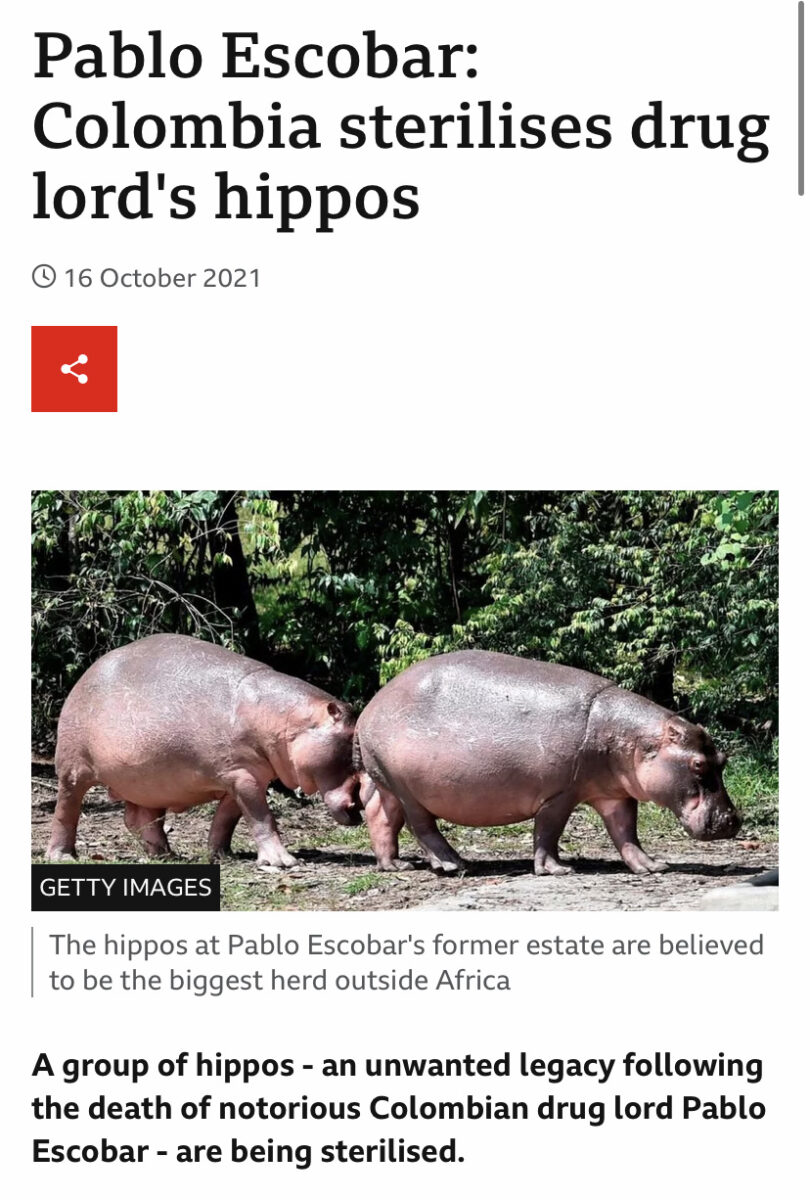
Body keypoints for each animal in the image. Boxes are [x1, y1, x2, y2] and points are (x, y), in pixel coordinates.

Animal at [47, 634, 360, 867]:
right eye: (349, 743)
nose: (358, 806)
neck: (281, 718)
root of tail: (87, 671)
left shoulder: (243, 778)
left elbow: (226, 820)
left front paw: (221, 854)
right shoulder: (241, 775)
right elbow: (262, 817)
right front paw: (283, 862)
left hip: (147, 782)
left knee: (140, 819)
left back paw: (166, 855)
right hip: (73, 768)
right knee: (66, 809)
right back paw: (62, 856)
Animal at [354, 650, 741, 876]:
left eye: (723, 759)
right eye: (698, 765)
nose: (732, 821)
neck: (631, 737)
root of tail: (371, 706)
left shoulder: (615, 795)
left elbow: (626, 832)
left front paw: (653, 867)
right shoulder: (560, 794)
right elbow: (548, 831)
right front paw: (557, 870)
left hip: (386, 781)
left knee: (381, 816)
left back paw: (395, 865)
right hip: (408, 788)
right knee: (421, 825)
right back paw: (453, 863)